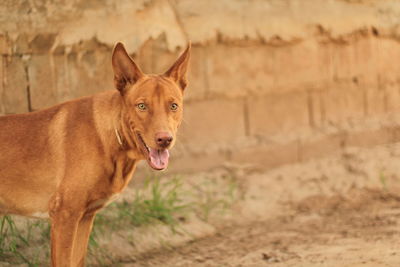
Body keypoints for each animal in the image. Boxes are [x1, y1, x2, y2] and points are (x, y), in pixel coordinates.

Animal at [0, 43, 191, 266]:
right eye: (142, 106)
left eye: (174, 106)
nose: (165, 139)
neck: (109, 138)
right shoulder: (64, 215)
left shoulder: (84, 217)